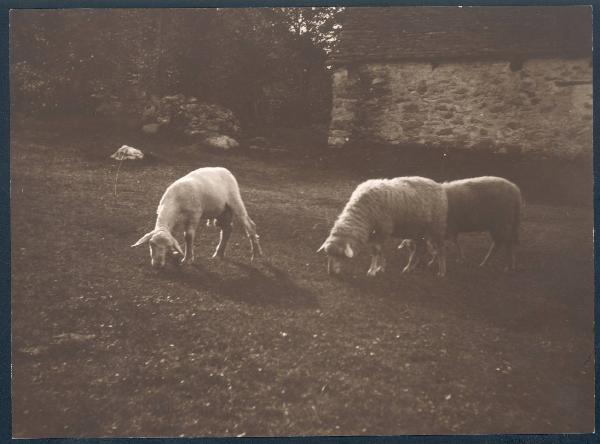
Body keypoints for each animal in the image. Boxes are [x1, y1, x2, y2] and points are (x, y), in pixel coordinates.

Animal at [131, 166, 262, 268]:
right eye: (151, 244)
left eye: (167, 246)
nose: (158, 265)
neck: (174, 201)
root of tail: (225, 170)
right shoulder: (175, 220)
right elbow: (172, 234)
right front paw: (174, 252)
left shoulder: (195, 215)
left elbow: (188, 236)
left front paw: (188, 259)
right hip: (222, 211)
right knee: (227, 229)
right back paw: (219, 254)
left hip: (235, 199)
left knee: (250, 225)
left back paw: (256, 255)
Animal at [316, 177, 448, 278]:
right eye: (327, 255)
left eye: (339, 256)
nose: (331, 273)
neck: (362, 211)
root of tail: (438, 185)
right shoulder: (376, 233)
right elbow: (380, 251)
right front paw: (381, 267)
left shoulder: (384, 229)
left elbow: (376, 251)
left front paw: (372, 271)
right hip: (417, 231)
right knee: (420, 249)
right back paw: (411, 267)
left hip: (437, 226)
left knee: (440, 248)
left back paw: (441, 271)